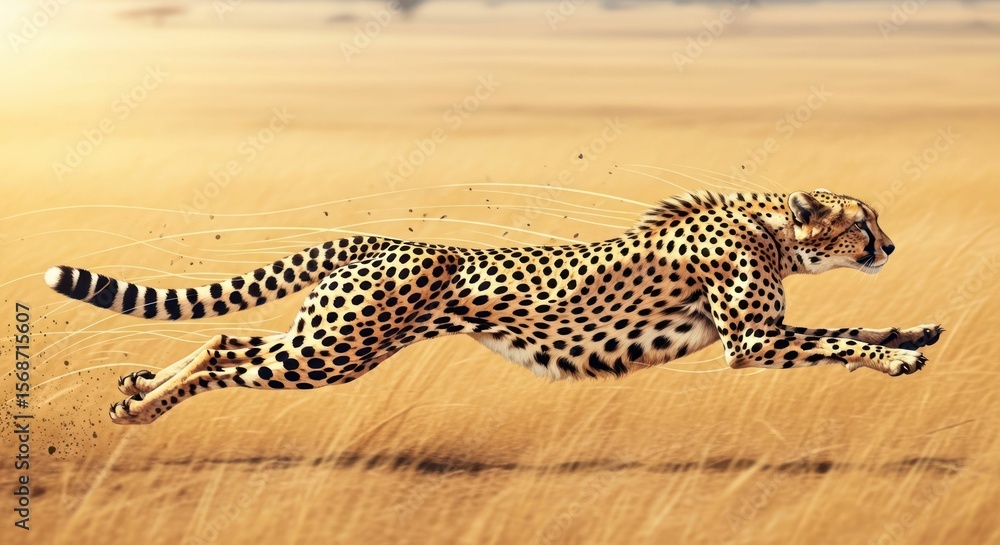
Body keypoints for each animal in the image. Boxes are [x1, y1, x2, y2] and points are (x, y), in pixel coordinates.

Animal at [44, 189, 944, 425]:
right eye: (863, 221)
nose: (892, 246)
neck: (771, 228)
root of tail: (386, 240)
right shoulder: (750, 343)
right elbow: (834, 336)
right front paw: (901, 355)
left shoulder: (766, 329)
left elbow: (847, 325)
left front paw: (918, 330)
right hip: (333, 351)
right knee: (229, 351)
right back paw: (138, 412)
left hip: (326, 335)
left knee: (229, 336)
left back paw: (134, 390)